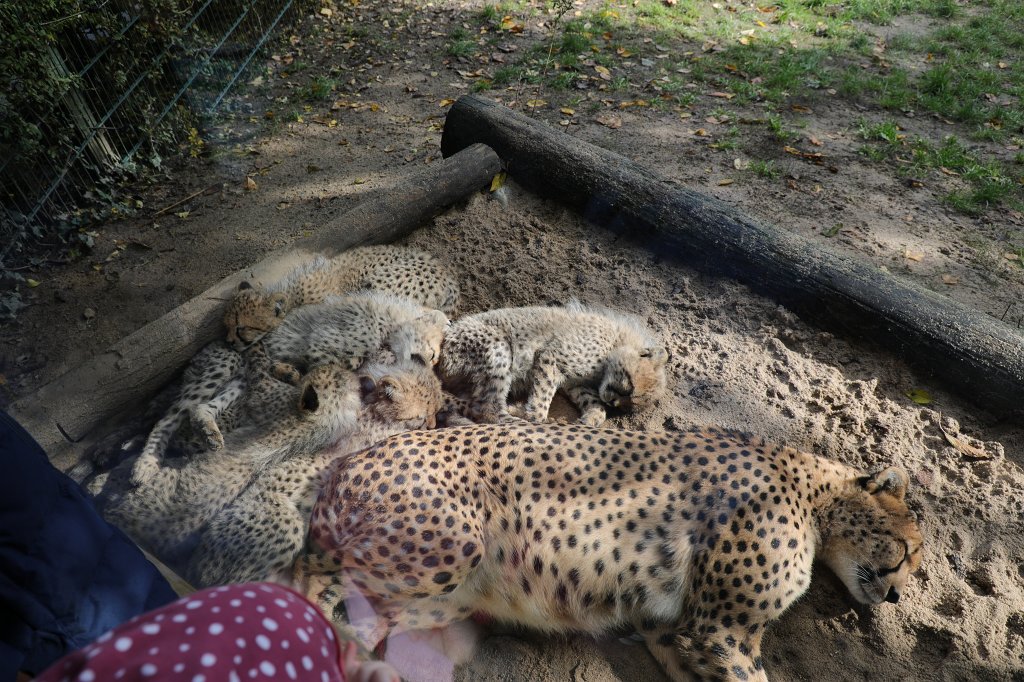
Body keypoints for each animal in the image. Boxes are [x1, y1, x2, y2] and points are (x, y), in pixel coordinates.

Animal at [224, 245, 460, 351]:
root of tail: (449, 276)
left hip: (378, 285)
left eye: (240, 327)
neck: (293, 294)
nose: (228, 342)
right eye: (227, 326)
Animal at [300, 422, 923, 682]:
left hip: (445, 596)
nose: (895, 597)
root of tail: (348, 459)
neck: (811, 492)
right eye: (907, 550)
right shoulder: (723, 629)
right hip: (446, 547)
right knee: (316, 580)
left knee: (367, 619)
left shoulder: (671, 628)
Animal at [439, 300, 669, 426]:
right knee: (487, 407)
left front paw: (592, 417)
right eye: (629, 388)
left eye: (628, 406)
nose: (613, 402)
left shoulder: (575, 383)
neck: (617, 343)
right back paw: (514, 418)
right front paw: (530, 414)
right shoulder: (552, 358)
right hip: (497, 345)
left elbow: (593, 402)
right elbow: (541, 402)